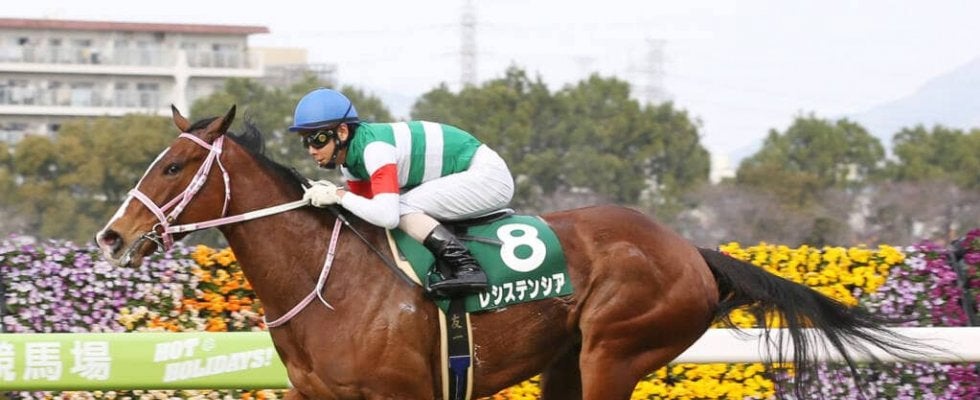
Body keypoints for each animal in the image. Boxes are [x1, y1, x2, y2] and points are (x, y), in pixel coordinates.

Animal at [96, 106, 917, 399]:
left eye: (174, 165)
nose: (112, 236)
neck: (333, 288)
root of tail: (689, 248)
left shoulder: (405, 395)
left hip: (615, 351)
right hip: (567, 361)